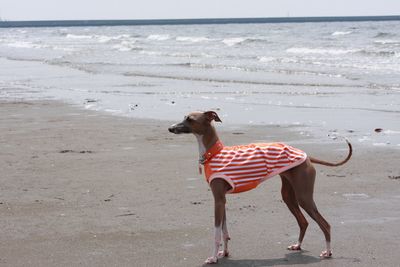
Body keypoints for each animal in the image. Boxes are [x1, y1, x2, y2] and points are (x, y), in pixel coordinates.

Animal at [167, 111, 352, 266]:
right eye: (184, 117)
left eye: (190, 119)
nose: (170, 128)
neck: (214, 153)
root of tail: (307, 157)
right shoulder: (222, 200)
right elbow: (225, 231)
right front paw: (224, 253)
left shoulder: (218, 200)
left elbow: (217, 233)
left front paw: (212, 258)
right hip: (288, 195)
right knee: (303, 222)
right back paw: (297, 245)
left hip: (303, 196)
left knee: (325, 224)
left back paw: (327, 252)